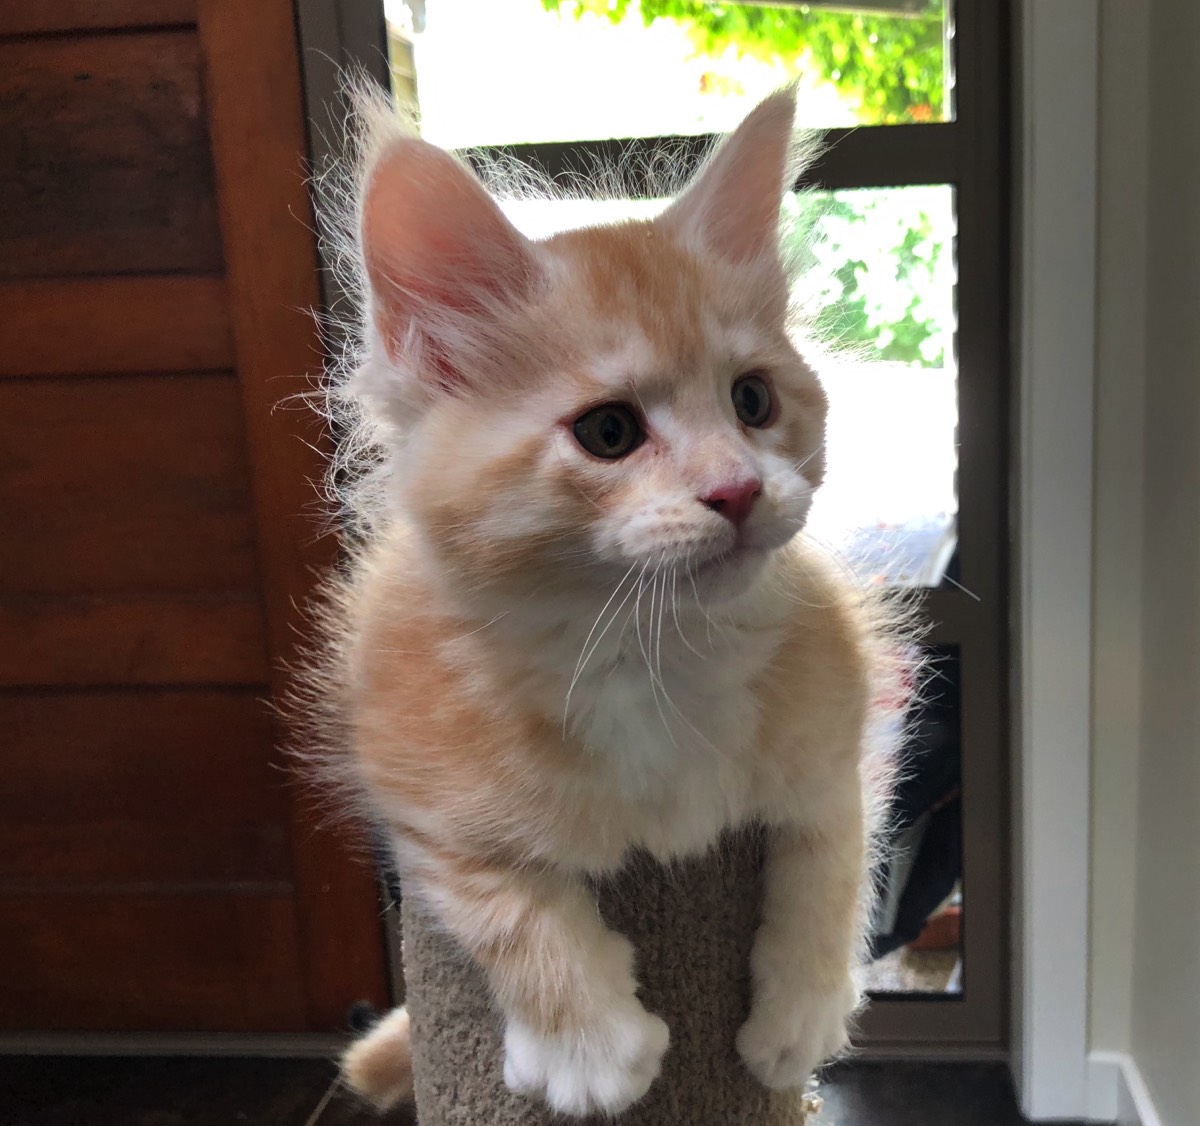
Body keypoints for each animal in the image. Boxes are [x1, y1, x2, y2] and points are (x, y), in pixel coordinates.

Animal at [316, 87, 901, 1117]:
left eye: (753, 401)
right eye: (610, 432)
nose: (738, 491)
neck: (646, 646)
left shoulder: (842, 731)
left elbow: (831, 856)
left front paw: (799, 1015)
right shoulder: (402, 764)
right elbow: (499, 891)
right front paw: (587, 1045)